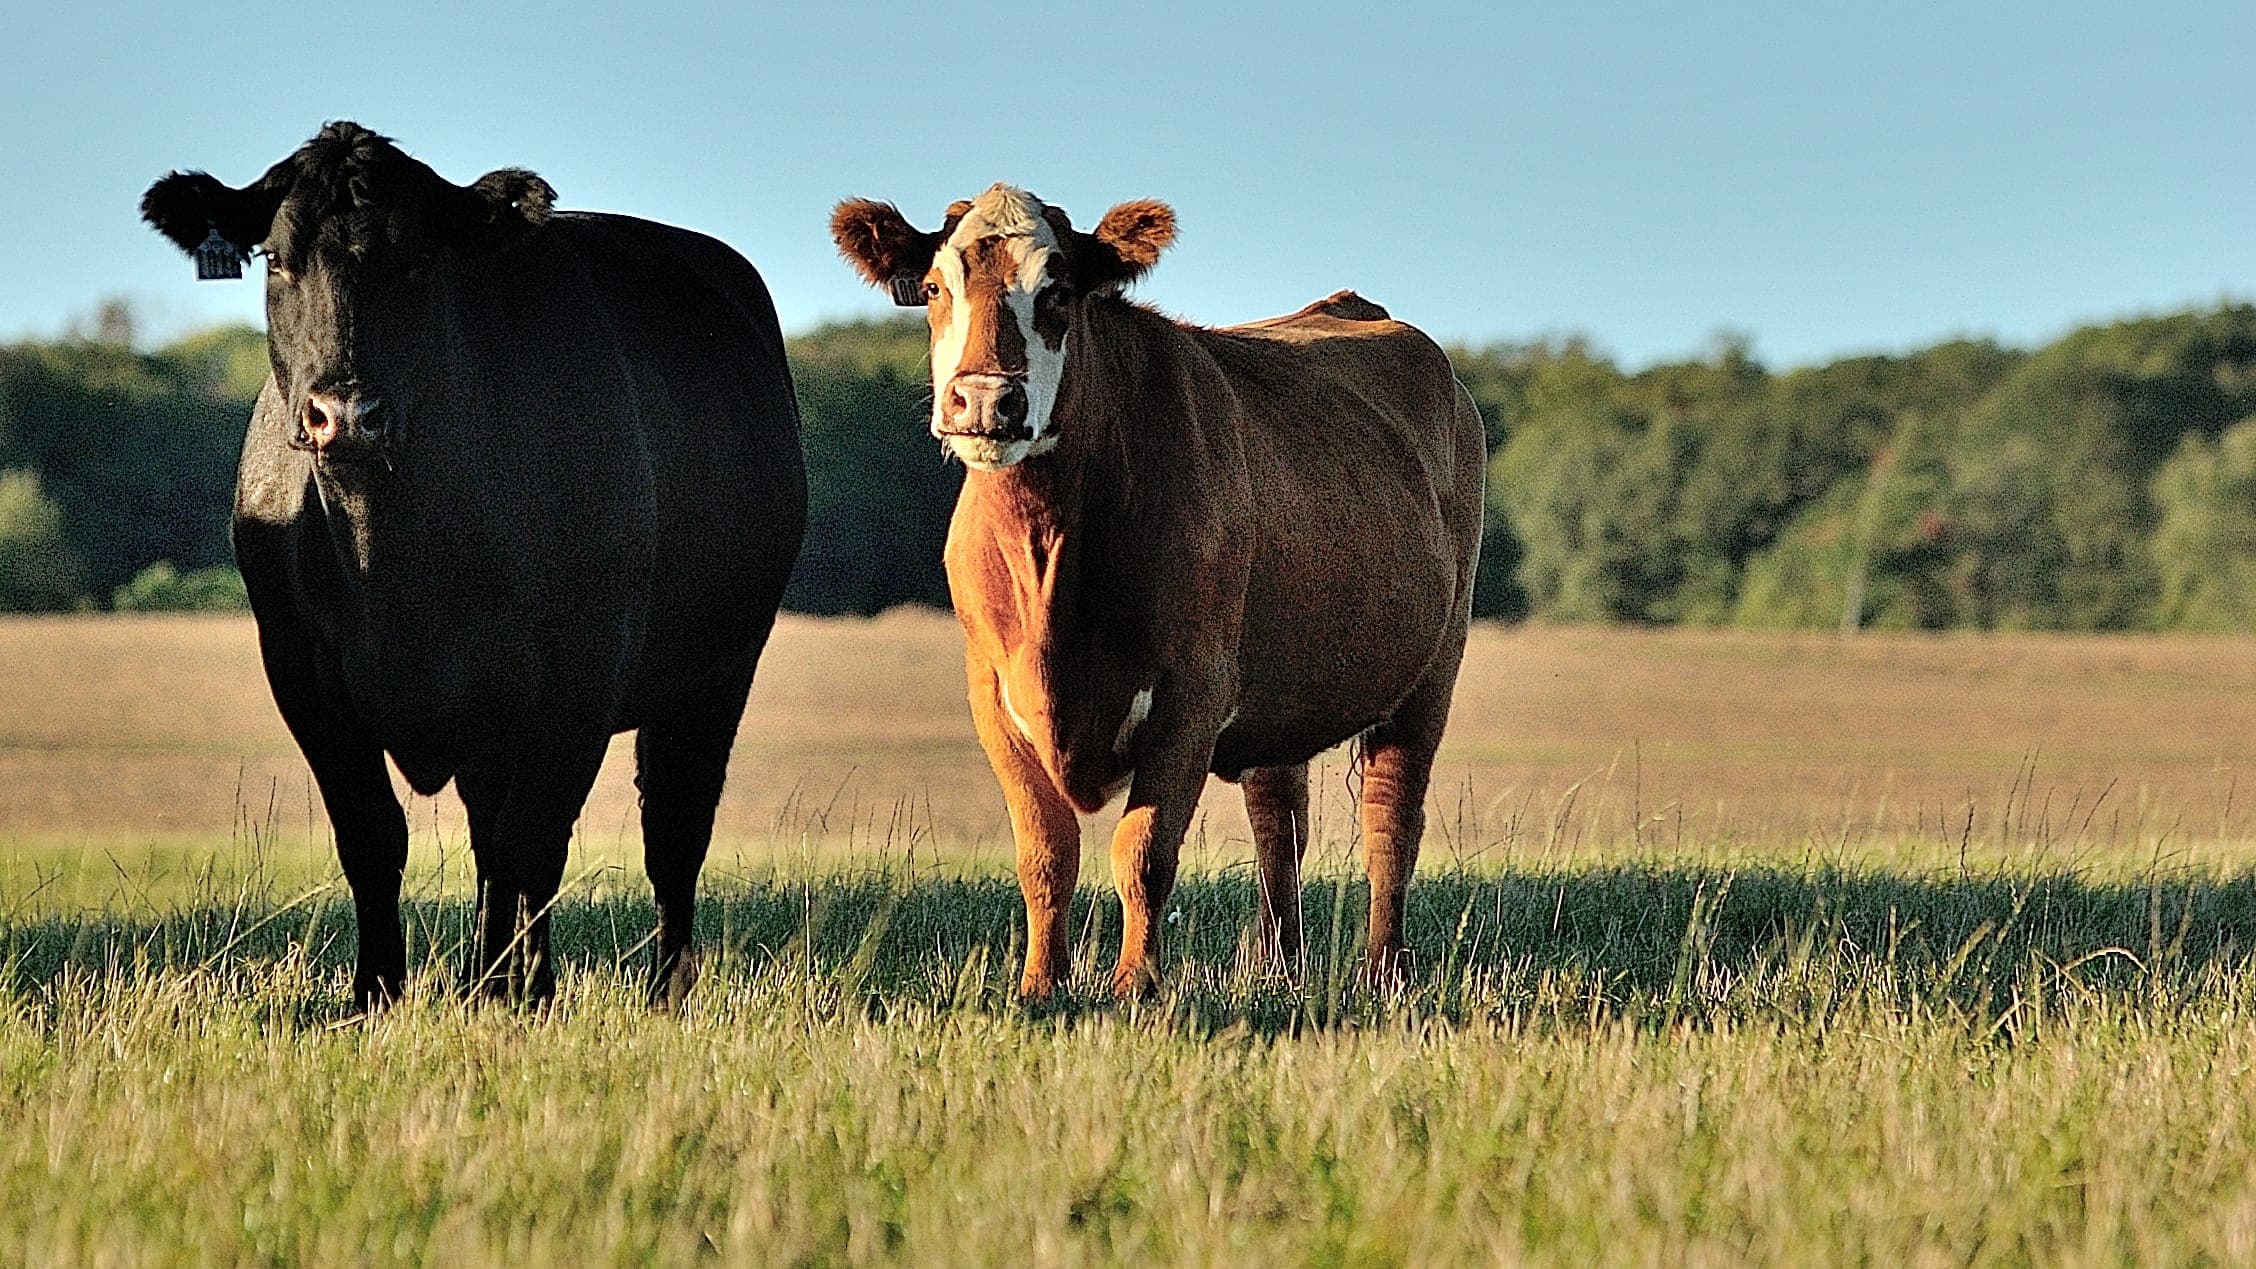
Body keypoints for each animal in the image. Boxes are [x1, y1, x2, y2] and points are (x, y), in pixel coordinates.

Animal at [142, 123, 807, 1008]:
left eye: (419, 261)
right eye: (277, 258)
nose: (343, 413)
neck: (394, 563)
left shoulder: (581, 672)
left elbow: (533, 840)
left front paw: (501, 994)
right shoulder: (302, 671)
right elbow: (376, 834)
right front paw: (377, 991)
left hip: (717, 672)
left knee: (667, 829)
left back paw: (646, 987)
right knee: (502, 839)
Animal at [830, 185, 1484, 998]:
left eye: (1059, 291)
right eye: (931, 288)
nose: (983, 401)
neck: (1053, 554)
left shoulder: (1190, 694)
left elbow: (1141, 853)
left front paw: (1134, 984)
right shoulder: (993, 694)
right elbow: (1046, 853)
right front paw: (1040, 985)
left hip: (1432, 670)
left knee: (1391, 819)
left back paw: (1382, 972)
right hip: (1278, 684)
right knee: (1280, 818)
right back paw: (1280, 967)